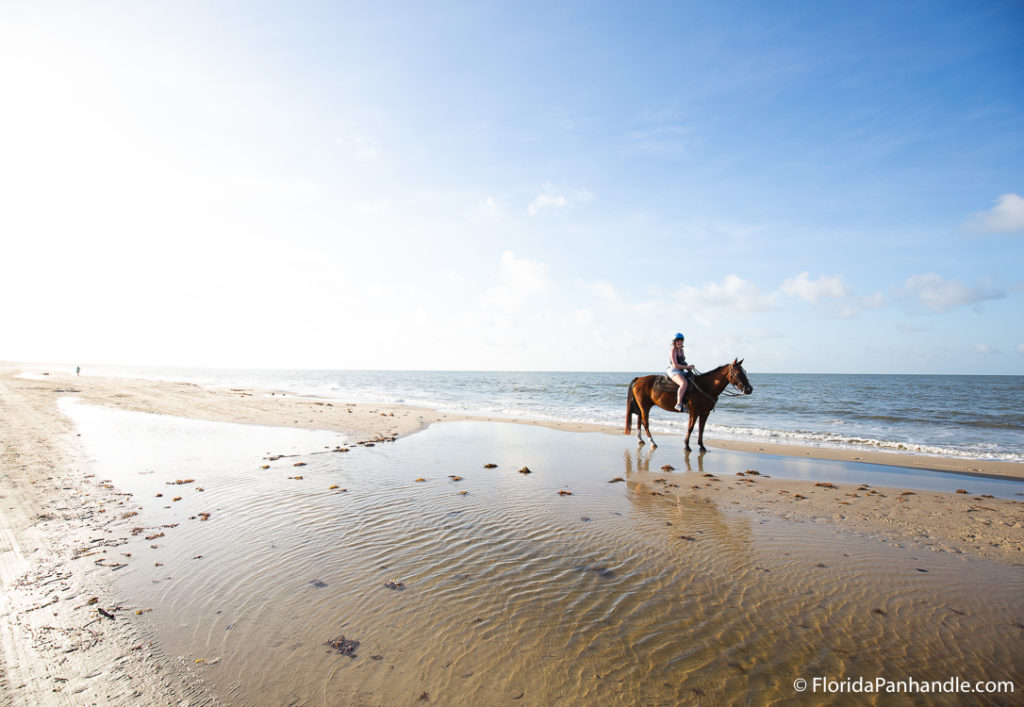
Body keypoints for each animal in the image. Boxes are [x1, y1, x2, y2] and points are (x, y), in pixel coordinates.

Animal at [622, 358, 753, 450]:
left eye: (745, 372)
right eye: (737, 373)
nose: (749, 389)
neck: (706, 387)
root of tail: (638, 379)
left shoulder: (705, 413)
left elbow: (701, 429)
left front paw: (702, 446)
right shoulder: (694, 413)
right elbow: (690, 428)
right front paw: (687, 446)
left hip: (643, 407)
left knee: (639, 421)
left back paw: (641, 440)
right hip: (645, 407)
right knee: (645, 423)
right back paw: (652, 442)